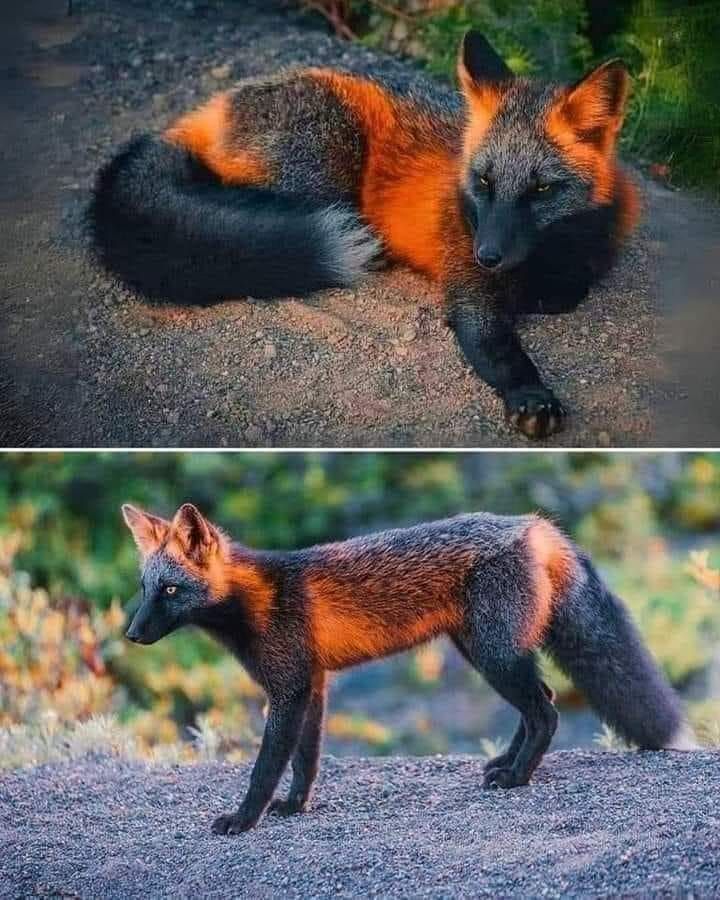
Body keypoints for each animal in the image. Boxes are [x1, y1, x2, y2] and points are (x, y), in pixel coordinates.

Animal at [91, 31, 640, 440]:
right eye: (484, 181)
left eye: (542, 189)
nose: (487, 254)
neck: (548, 257)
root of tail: (216, 104)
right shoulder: (467, 287)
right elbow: (497, 347)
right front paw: (530, 394)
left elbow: (569, 291)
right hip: (325, 168)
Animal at [122, 501, 695, 835]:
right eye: (146, 589)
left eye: (170, 591)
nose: (131, 634)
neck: (259, 602)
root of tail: (534, 526)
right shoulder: (313, 684)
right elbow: (306, 760)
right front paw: (295, 806)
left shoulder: (287, 689)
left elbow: (266, 767)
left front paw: (244, 819)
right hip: (485, 651)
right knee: (540, 706)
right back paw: (505, 765)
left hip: (495, 655)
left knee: (547, 711)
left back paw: (516, 778)